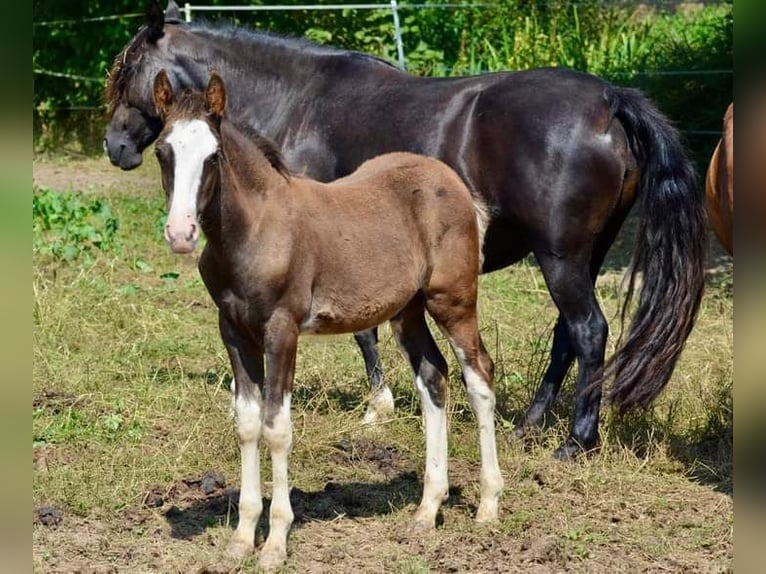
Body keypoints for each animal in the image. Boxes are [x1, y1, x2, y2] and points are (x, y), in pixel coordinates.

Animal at [106, 0, 708, 460]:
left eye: (127, 69)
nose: (115, 146)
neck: (298, 100)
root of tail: (609, 101)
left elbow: (364, 333)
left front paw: (379, 406)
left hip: (561, 257)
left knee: (588, 331)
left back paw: (577, 440)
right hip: (582, 255)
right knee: (568, 336)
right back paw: (531, 425)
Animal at [153, 72, 508, 572]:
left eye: (213, 155)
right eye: (163, 152)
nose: (181, 234)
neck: (254, 230)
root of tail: (454, 182)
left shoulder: (282, 330)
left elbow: (276, 428)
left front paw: (275, 543)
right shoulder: (233, 331)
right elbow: (246, 423)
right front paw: (242, 537)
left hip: (452, 301)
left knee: (479, 378)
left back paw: (488, 506)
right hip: (407, 311)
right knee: (433, 378)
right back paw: (426, 509)